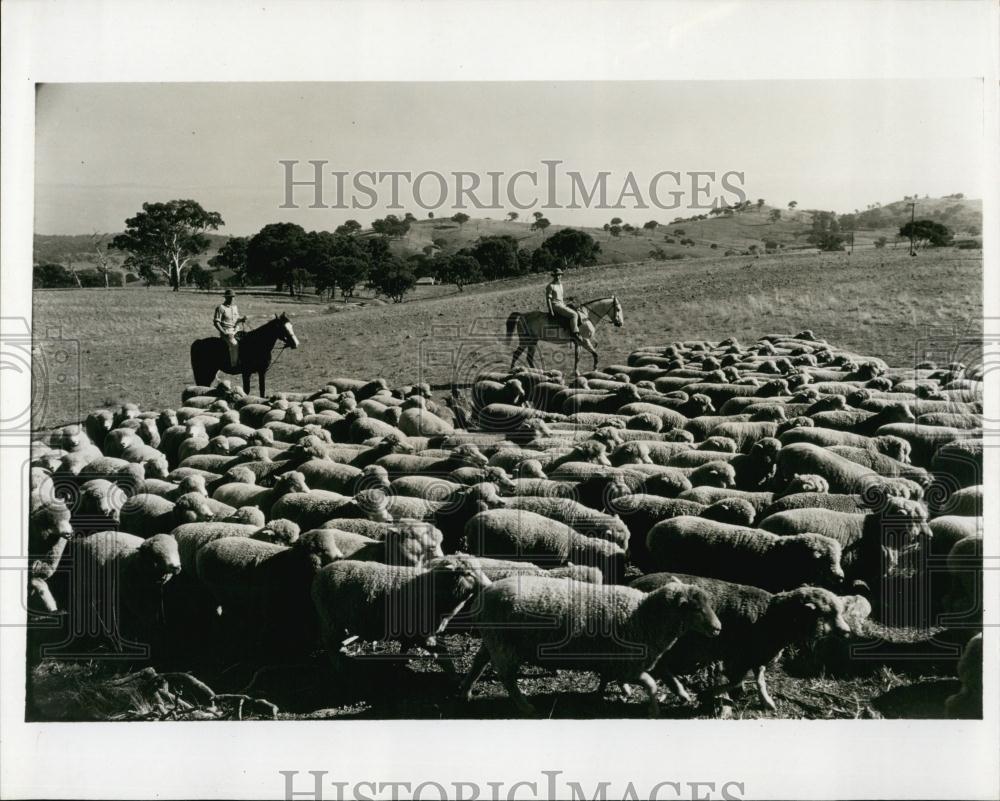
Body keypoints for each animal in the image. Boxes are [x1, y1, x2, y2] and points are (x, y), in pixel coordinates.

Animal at [312, 556, 492, 676]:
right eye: (468, 573)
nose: (489, 586)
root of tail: (321, 573)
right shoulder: (422, 633)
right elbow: (443, 654)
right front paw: (454, 676)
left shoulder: (409, 631)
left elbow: (405, 647)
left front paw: (401, 661)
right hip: (330, 621)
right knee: (329, 644)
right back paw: (339, 667)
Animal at [460, 576, 720, 712]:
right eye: (696, 609)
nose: (718, 628)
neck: (642, 615)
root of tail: (488, 588)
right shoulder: (629, 664)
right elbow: (652, 684)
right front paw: (653, 709)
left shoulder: (627, 660)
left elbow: (664, 677)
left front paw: (682, 695)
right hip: (504, 645)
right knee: (506, 677)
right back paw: (526, 707)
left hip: (493, 639)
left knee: (479, 661)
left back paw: (466, 691)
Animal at [632, 572, 852, 708]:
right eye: (828, 614)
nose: (847, 631)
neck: (772, 616)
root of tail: (633, 584)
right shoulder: (741, 656)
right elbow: (737, 679)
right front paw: (710, 694)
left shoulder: (758, 655)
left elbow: (760, 680)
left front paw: (767, 702)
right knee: (660, 667)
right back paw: (680, 691)